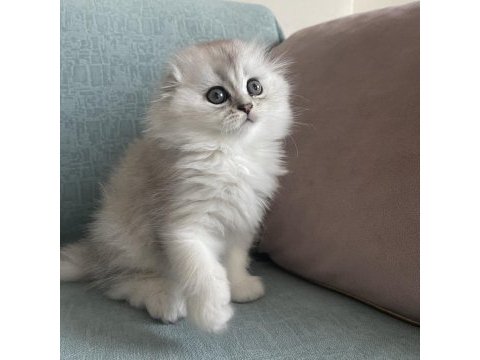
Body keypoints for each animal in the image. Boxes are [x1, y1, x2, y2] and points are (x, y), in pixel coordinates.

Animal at [61, 39, 292, 332]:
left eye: (254, 87)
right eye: (217, 95)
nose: (247, 107)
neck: (230, 153)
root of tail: (93, 251)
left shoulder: (241, 221)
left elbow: (235, 260)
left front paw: (240, 288)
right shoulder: (184, 227)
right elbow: (205, 272)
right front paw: (214, 315)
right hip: (127, 243)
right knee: (121, 283)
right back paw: (167, 302)